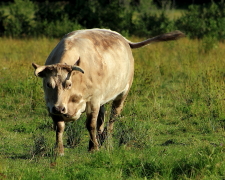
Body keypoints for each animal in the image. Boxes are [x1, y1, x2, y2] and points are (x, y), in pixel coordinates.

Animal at [32, 28, 185, 155]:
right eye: (48, 84)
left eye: (68, 84)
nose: (59, 108)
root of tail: (123, 38)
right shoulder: (51, 106)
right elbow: (59, 127)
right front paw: (59, 150)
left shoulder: (93, 100)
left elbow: (90, 125)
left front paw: (93, 148)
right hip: (102, 98)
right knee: (102, 117)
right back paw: (100, 137)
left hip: (123, 93)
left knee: (113, 117)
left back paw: (106, 139)